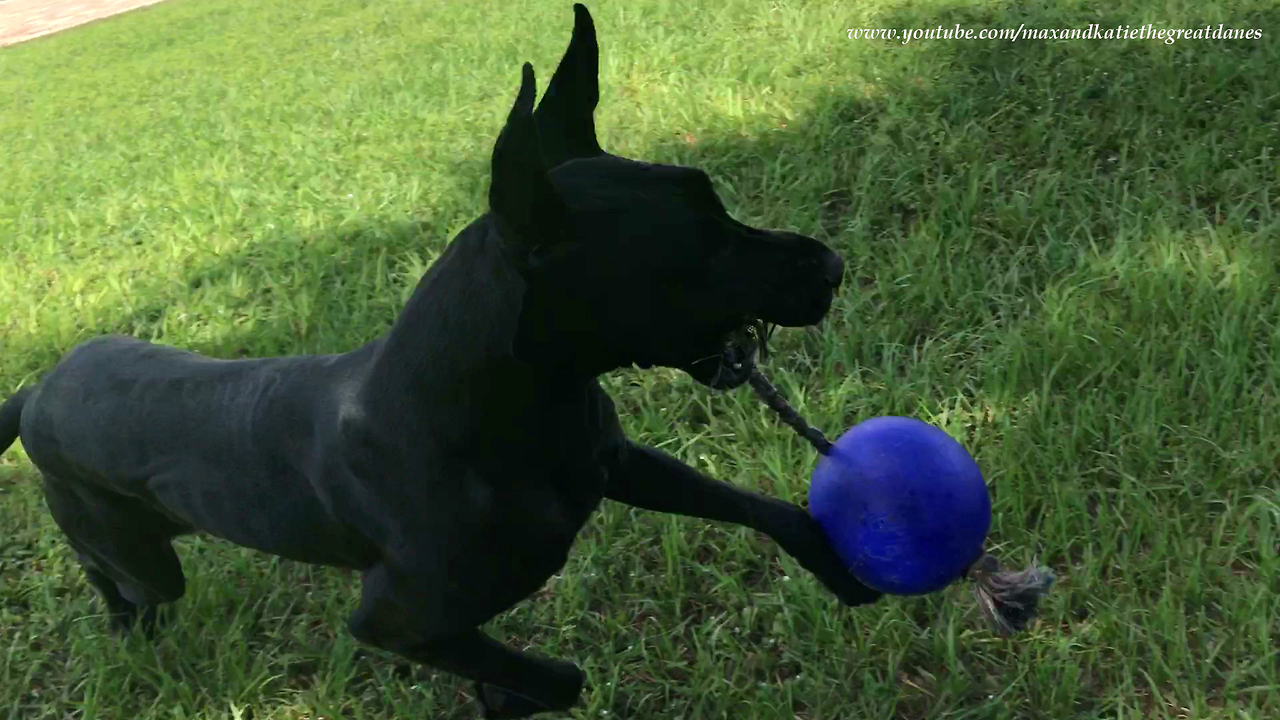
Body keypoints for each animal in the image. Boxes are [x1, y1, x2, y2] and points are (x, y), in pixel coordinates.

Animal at [0, 4, 880, 712]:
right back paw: (122, 625)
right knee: (117, 579)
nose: (834, 266)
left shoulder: (621, 462)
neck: (499, 411)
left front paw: (844, 569)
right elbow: (559, 679)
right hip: (138, 555)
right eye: (699, 245)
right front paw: (509, 693)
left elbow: (769, 509)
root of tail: (35, 391)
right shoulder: (394, 619)